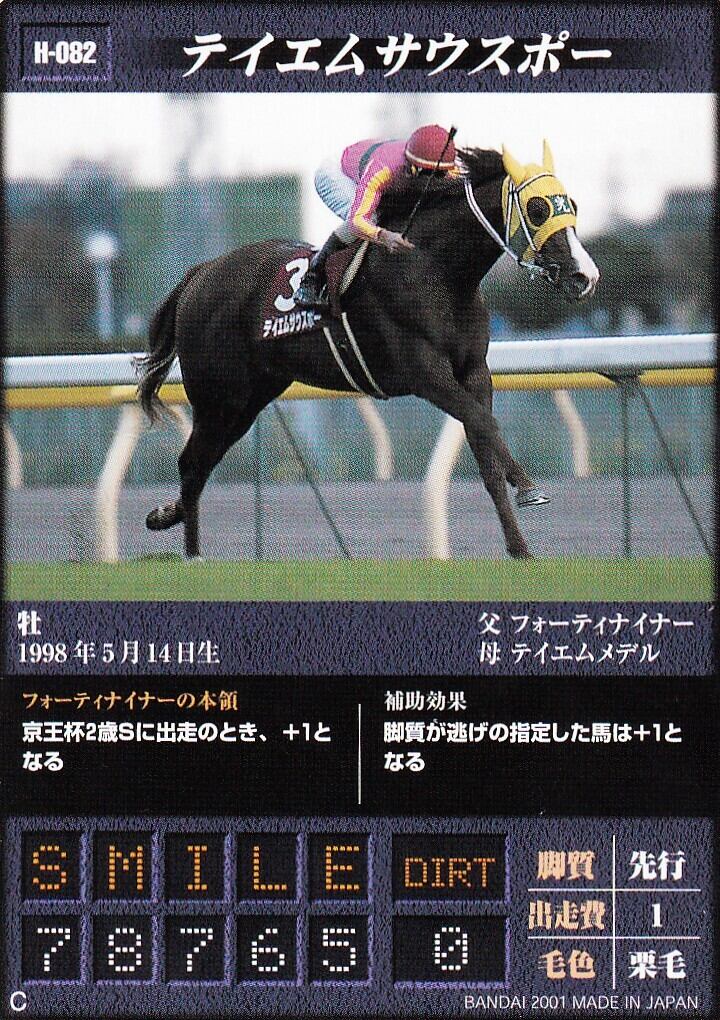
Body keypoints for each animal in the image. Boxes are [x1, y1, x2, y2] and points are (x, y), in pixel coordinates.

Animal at [137, 142, 599, 560]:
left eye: (572, 204)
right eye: (537, 209)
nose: (585, 276)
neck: (437, 271)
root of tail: (200, 273)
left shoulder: (474, 373)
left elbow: (485, 450)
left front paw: (520, 549)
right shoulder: (426, 375)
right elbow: (483, 421)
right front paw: (529, 488)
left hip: (249, 399)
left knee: (201, 463)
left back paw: (169, 519)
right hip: (219, 396)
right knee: (192, 463)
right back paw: (192, 554)